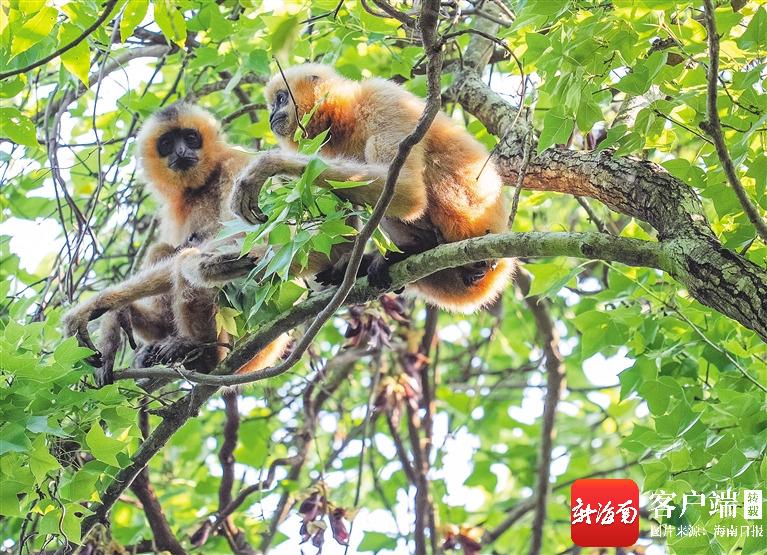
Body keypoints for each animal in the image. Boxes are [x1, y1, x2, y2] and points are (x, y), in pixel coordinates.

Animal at [63, 102, 290, 386]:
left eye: (191, 138)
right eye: (167, 143)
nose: (181, 151)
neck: (201, 185)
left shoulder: (237, 163)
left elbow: (259, 239)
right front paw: (105, 311)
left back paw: (199, 352)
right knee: (162, 250)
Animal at [229, 63, 515, 313]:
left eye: (280, 99)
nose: (270, 115)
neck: (346, 117)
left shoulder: (383, 100)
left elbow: (407, 191)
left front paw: (268, 165)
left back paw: (411, 251)